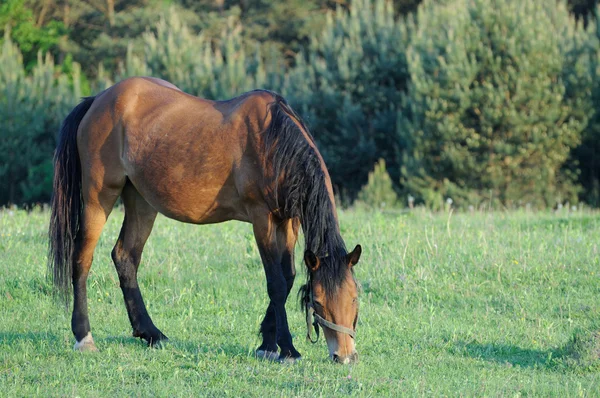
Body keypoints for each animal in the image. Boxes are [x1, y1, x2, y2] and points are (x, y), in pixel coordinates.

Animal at [48, 77, 360, 364]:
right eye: (317, 302)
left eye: (355, 297)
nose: (344, 356)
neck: (273, 143)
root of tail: (98, 100)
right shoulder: (262, 219)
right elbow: (276, 283)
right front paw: (286, 348)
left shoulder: (289, 222)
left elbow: (288, 277)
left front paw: (267, 343)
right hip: (98, 197)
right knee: (82, 259)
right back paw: (84, 337)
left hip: (141, 201)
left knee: (126, 257)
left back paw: (151, 333)